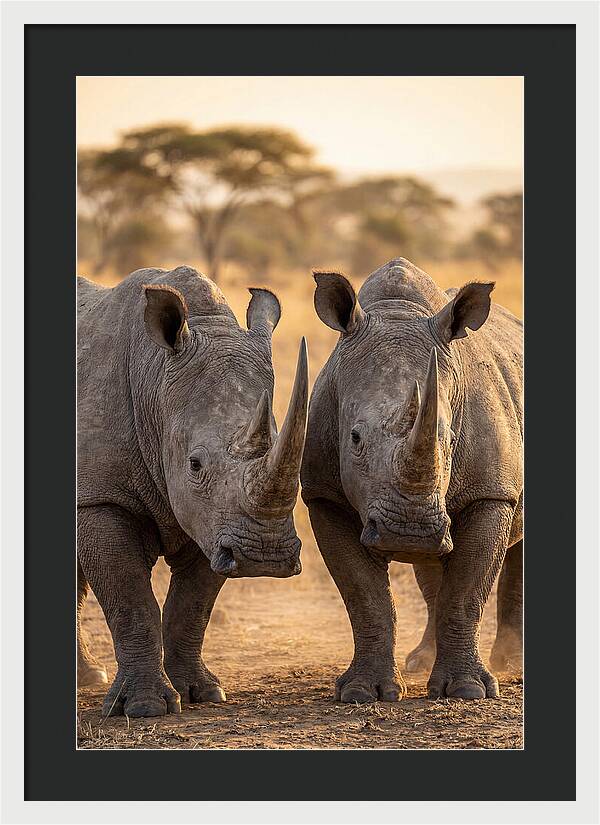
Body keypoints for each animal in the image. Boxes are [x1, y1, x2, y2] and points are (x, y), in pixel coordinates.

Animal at [77, 266, 308, 718]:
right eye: (195, 465)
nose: (265, 557)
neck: (155, 378)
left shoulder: (215, 521)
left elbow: (192, 605)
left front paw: (200, 693)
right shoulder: (100, 496)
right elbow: (130, 600)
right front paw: (144, 708)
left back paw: (87, 677)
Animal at [301, 258, 522, 702]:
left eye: (450, 439)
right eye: (354, 438)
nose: (410, 531)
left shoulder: (492, 493)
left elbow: (467, 592)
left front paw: (468, 691)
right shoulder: (323, 495)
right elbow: (365, 597)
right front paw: (363, 692)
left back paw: (512, 663)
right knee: (432, 568)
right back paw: (421, 661)